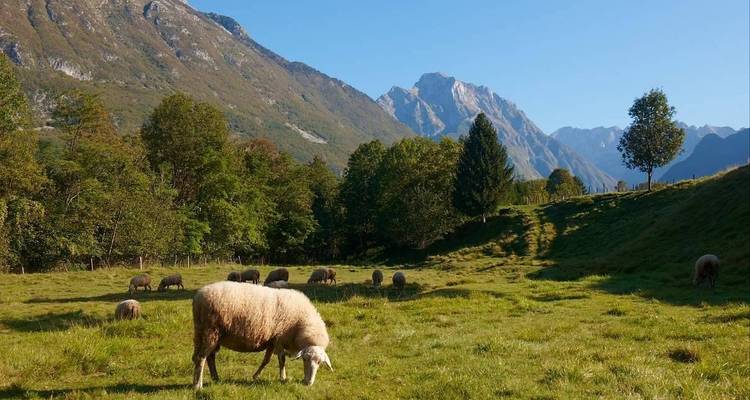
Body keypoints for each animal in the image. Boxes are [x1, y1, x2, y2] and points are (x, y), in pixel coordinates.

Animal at [191, 282, 332, 390]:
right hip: (210, 332)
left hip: (205, 333)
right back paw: (198, 385)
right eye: (305, 359)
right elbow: (282, 360)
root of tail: (198, 297)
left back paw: (215, 378)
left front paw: (256, 376)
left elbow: (266, 360)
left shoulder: (271, 341)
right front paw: (283, 378)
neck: (301, 324)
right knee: (201, 358)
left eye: (320, 363)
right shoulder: (279, 339)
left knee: (209, 357)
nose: (308, 383)